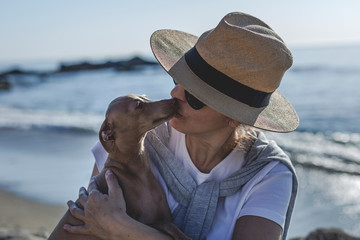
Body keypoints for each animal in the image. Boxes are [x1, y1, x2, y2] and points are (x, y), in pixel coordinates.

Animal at [49, 94, 190, 240]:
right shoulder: (152, 221)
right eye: (138, 105)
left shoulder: (164, 219)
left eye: (145, 96)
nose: (173, 100)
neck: (133, 169)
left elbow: (179, 232)